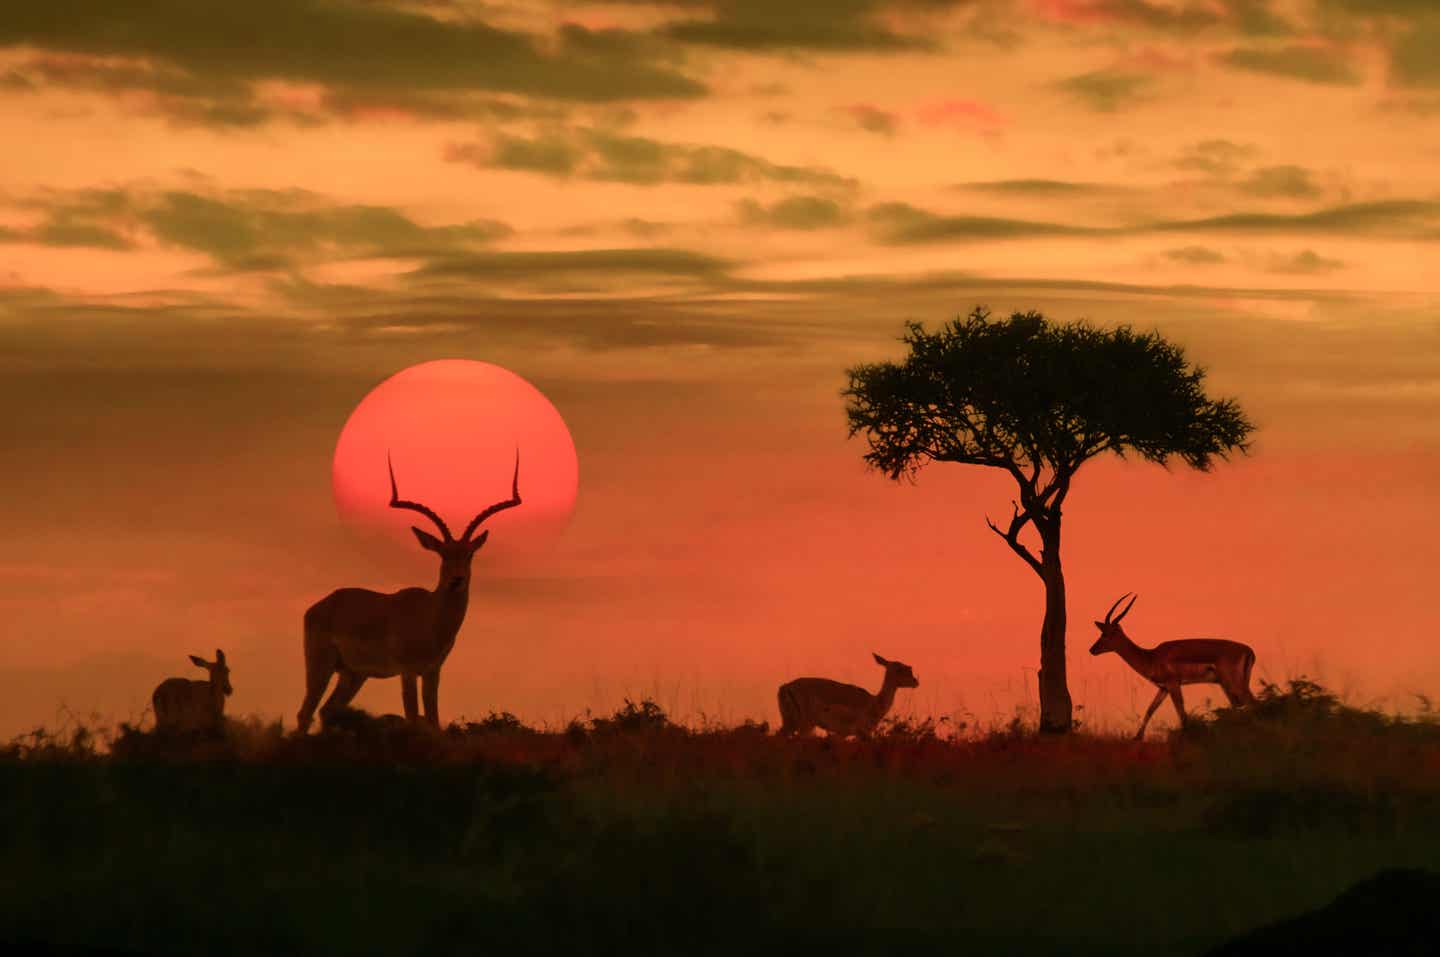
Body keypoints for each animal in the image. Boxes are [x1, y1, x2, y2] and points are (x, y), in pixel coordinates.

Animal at [295, 448, 521, 731]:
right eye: (442, 553)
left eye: (469, 554)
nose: (456, 580)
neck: (430, 618)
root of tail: (322, 604)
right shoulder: (408, 671)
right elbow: (413, 717)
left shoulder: (433, 671)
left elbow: (433, 720)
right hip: (320, 665)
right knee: (306, 712)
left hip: (354, 673)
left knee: (328, 710)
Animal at [777, 650, 921, 736]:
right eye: (900, 669)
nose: (916, 681)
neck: (874, 702)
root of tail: (785, 687)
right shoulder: (861, 732)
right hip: (804, 724)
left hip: (791, 722)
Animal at [1088, 590, 1261, 736]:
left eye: (1106, 634)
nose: (1092, 650)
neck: (1151, 657)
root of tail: (1249, 650)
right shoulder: (1163, 688)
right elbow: (1150, 710)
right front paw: (1137, 738)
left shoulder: (1173, 684)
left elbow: (1181, 713)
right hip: (1228, 684)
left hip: (1233, 682)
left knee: (1252, 703)